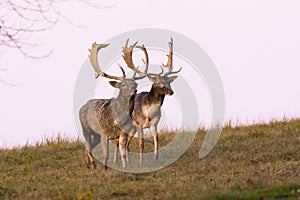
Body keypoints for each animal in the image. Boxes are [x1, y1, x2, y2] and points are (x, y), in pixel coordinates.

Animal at [78, 39, 146, 170]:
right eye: (123, 84)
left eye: (135, 83)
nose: (134, 90)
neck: (117, 120)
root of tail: (82, 106)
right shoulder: (104, 132)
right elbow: (106, 154)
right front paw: (105, 169)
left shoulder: (123, 132)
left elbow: (123, 152)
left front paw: (125, 167)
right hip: (86, 128)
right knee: (88, 145)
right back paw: (93, 165)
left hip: (96, 135)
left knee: (88, 147)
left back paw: (88, 164)